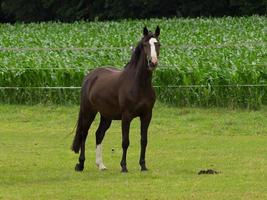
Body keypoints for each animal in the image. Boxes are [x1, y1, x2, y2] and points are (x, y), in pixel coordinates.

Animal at [71, 26, 161, 172]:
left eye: (158, 44)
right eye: (145, 45)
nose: (152, 62)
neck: (139, 84)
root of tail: (90, 76)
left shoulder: (147, 115)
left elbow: (144, 140)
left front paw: (143, 166)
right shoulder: (126, 116)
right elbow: (125, 142)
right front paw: (124, 166)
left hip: (106, 116)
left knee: (99, 134)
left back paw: (101, 165)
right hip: (88, 111)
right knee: (84, 134)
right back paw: (81, 164)